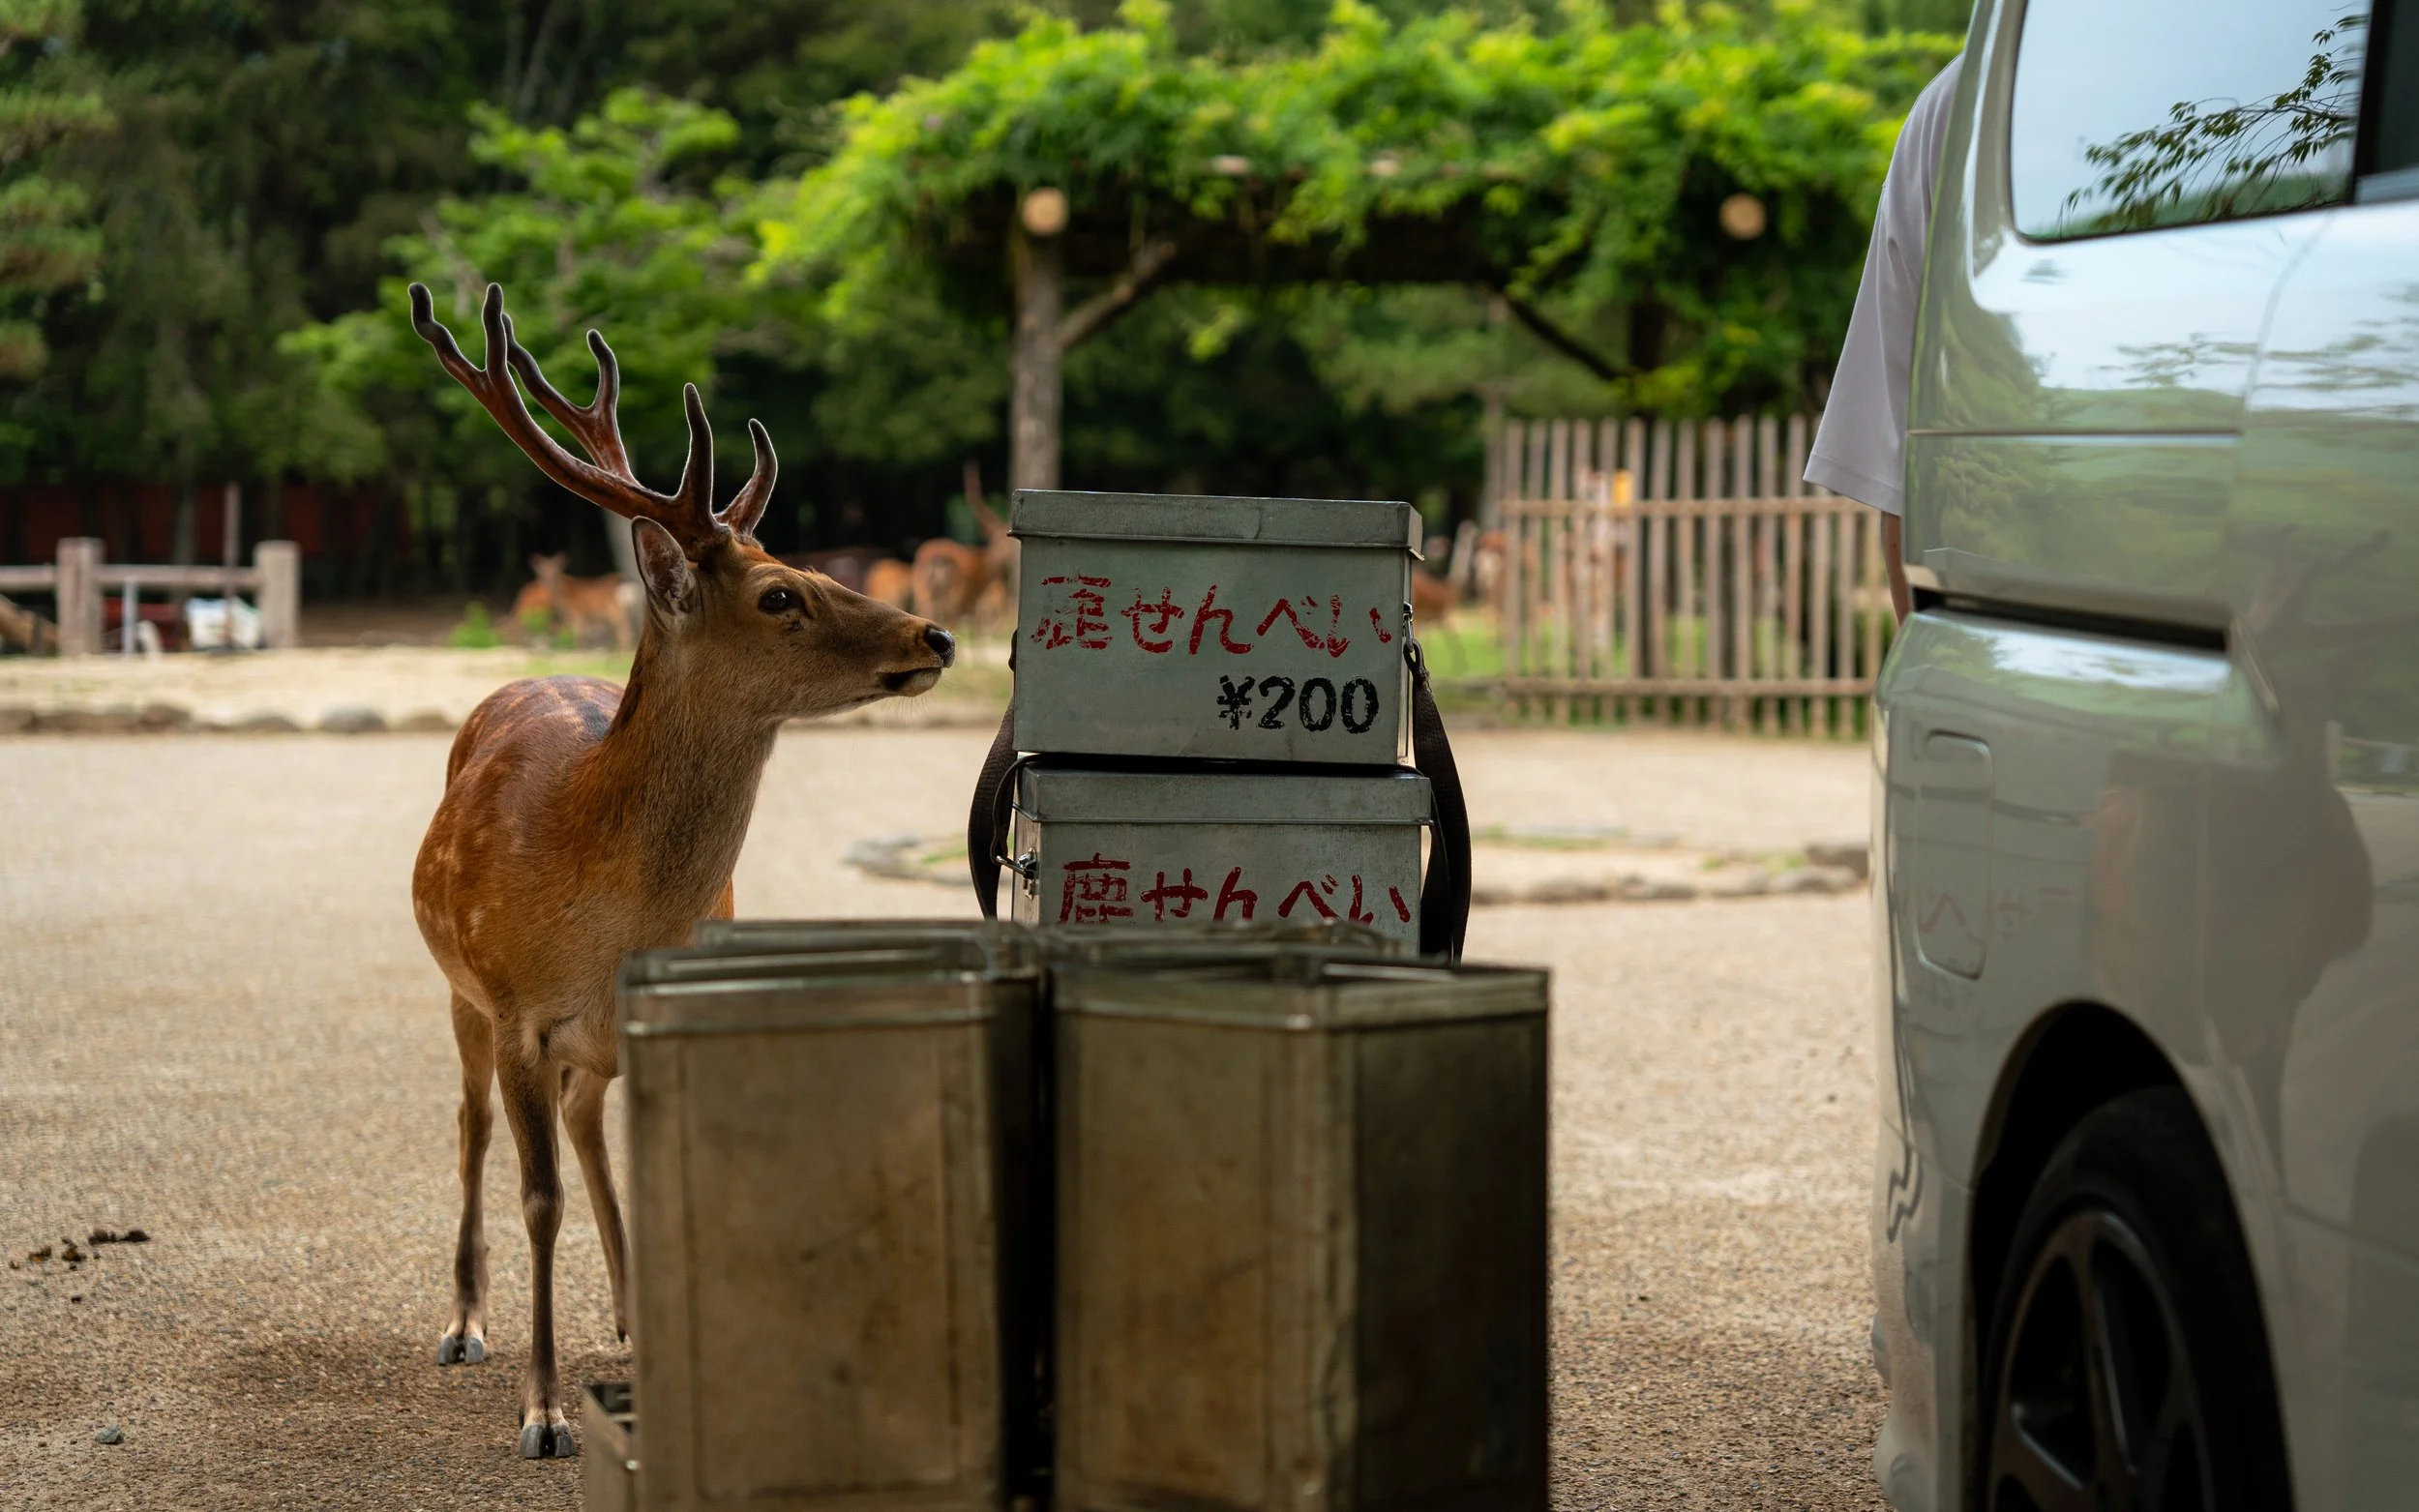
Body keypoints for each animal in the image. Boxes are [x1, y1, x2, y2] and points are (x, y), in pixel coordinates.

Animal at [403, 282, 956, 1460]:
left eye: (816, 569)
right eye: (781, 595)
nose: (934, 634)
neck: (598, 903)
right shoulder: (517, 1007)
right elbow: (538, 1199)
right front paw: (544, 1412)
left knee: (586, 1114)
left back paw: (623, 1310)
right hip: (457, 984)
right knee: (473, 1125)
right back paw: (466, 1322)